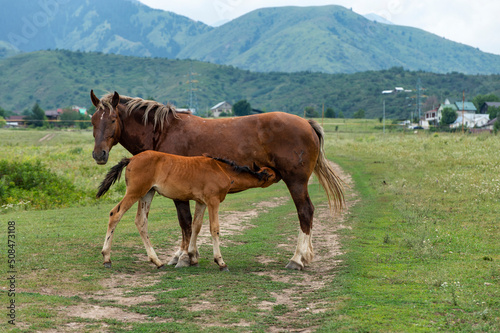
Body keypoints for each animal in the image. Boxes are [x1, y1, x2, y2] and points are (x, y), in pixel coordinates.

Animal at [95, 150, 280, 270]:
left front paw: (192, 256)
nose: (280, 174)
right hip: (135, 192)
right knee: (115, 214)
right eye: (271, 173)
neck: (222, 170)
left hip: (147, 193)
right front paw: (220, 262)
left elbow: (196, 226)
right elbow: (214, 229)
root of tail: (131, 159)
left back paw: (157, 261)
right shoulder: (213, 202)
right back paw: (107, 257)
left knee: (141, 222)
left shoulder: (201, 202)